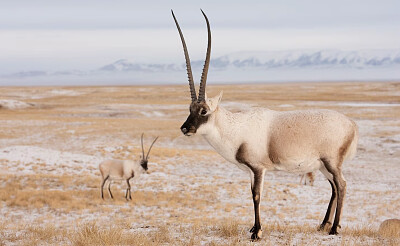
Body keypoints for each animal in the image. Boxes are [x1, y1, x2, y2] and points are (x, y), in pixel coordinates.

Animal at [172, 10, 360, 240]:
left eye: (203, 111)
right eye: (189, 109)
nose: (185, 128)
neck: (236, 127)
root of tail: (352, 124)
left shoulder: (258, 168)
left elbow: (256, 195)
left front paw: (257, 232)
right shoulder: (249, 171)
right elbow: (251, 193)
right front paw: (253, 228)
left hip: (331, 162)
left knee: (341, 185)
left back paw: (334, 229)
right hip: (324, 165)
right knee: (334, 187)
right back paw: (323, 225)